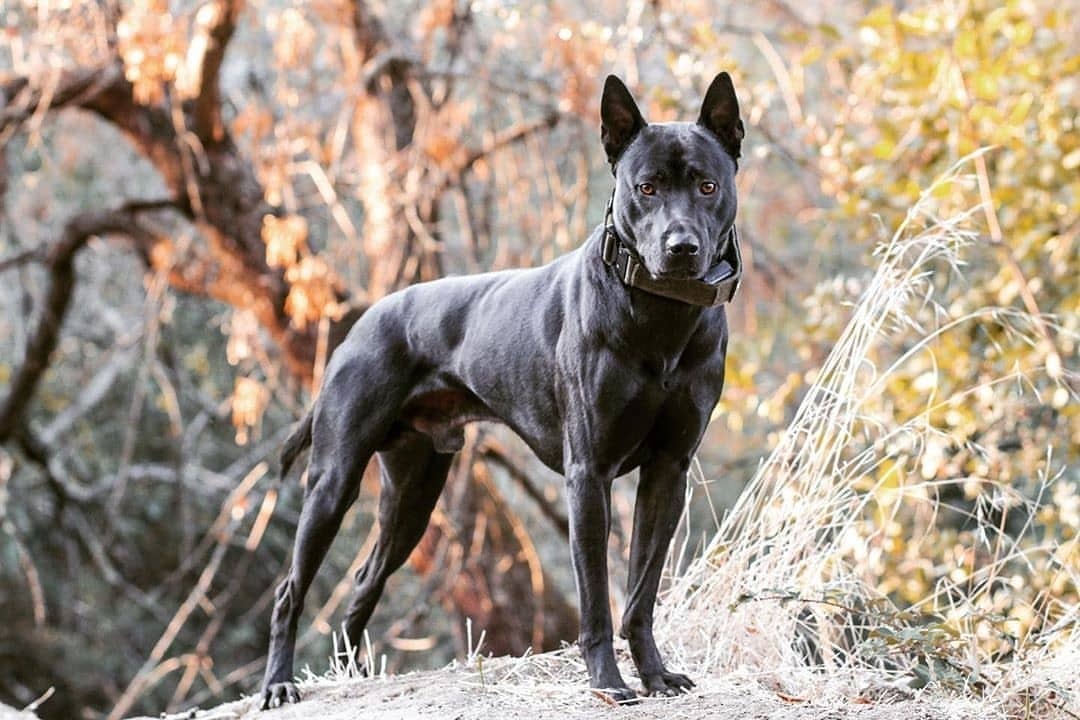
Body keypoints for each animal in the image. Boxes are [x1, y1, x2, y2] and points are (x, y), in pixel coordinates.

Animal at [261, 74, 743, 708]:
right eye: (646, 188)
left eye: (708, 186)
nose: (681, 247)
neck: (660, 314)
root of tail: (363, 323)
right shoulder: (588, 477)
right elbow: (596, 598)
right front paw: (608, 683)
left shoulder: (668, 472)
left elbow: (640, 595)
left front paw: (656, 676)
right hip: (333, 481)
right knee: (289, 589)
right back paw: (278, 683)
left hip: (412, 495)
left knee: (365, 581)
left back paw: (353, 677)